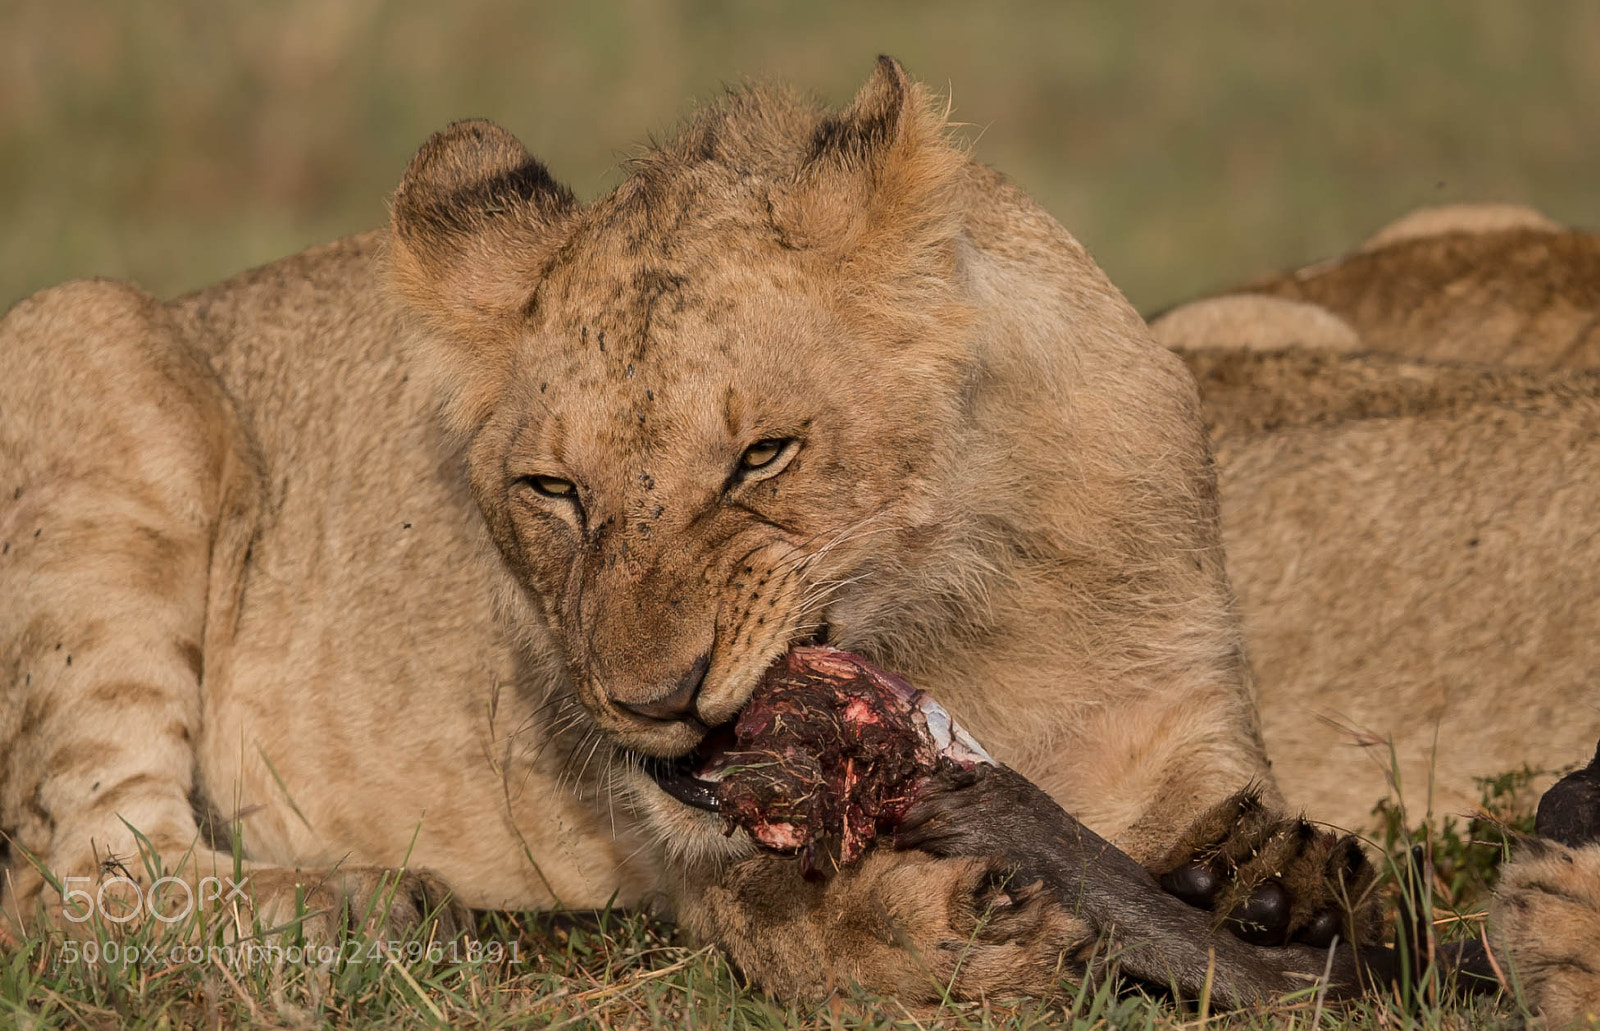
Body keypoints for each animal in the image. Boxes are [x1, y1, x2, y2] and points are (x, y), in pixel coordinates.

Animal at [1, 58, 1391, 1004]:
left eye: (762, 454)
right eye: (553, 489)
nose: (651, 696)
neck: (963, 620)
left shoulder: (1176, 700)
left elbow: (1219, 808)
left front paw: (1273, 879)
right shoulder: (701, 868)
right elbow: (796, 923)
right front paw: (945, 920)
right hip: (89, 325)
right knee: (88, 883)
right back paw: (387, 904)